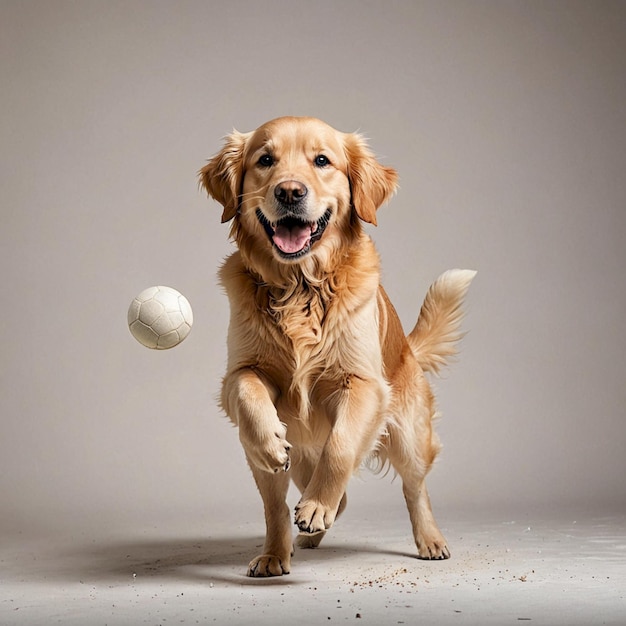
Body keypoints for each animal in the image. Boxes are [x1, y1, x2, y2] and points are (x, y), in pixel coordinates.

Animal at [200, 116, 472, 576]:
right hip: (276, 466)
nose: (290, 192)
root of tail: (409, 349)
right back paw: (279, 551)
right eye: (265, 160)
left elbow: (341, 448)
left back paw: (427, 539)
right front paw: (270, 440)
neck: (300, 286)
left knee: (415, 488)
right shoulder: (241, 370)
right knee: (279, 505)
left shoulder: (363, 383)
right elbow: (247, 391)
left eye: (322, 161)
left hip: (408, 437)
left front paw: (315, 508)